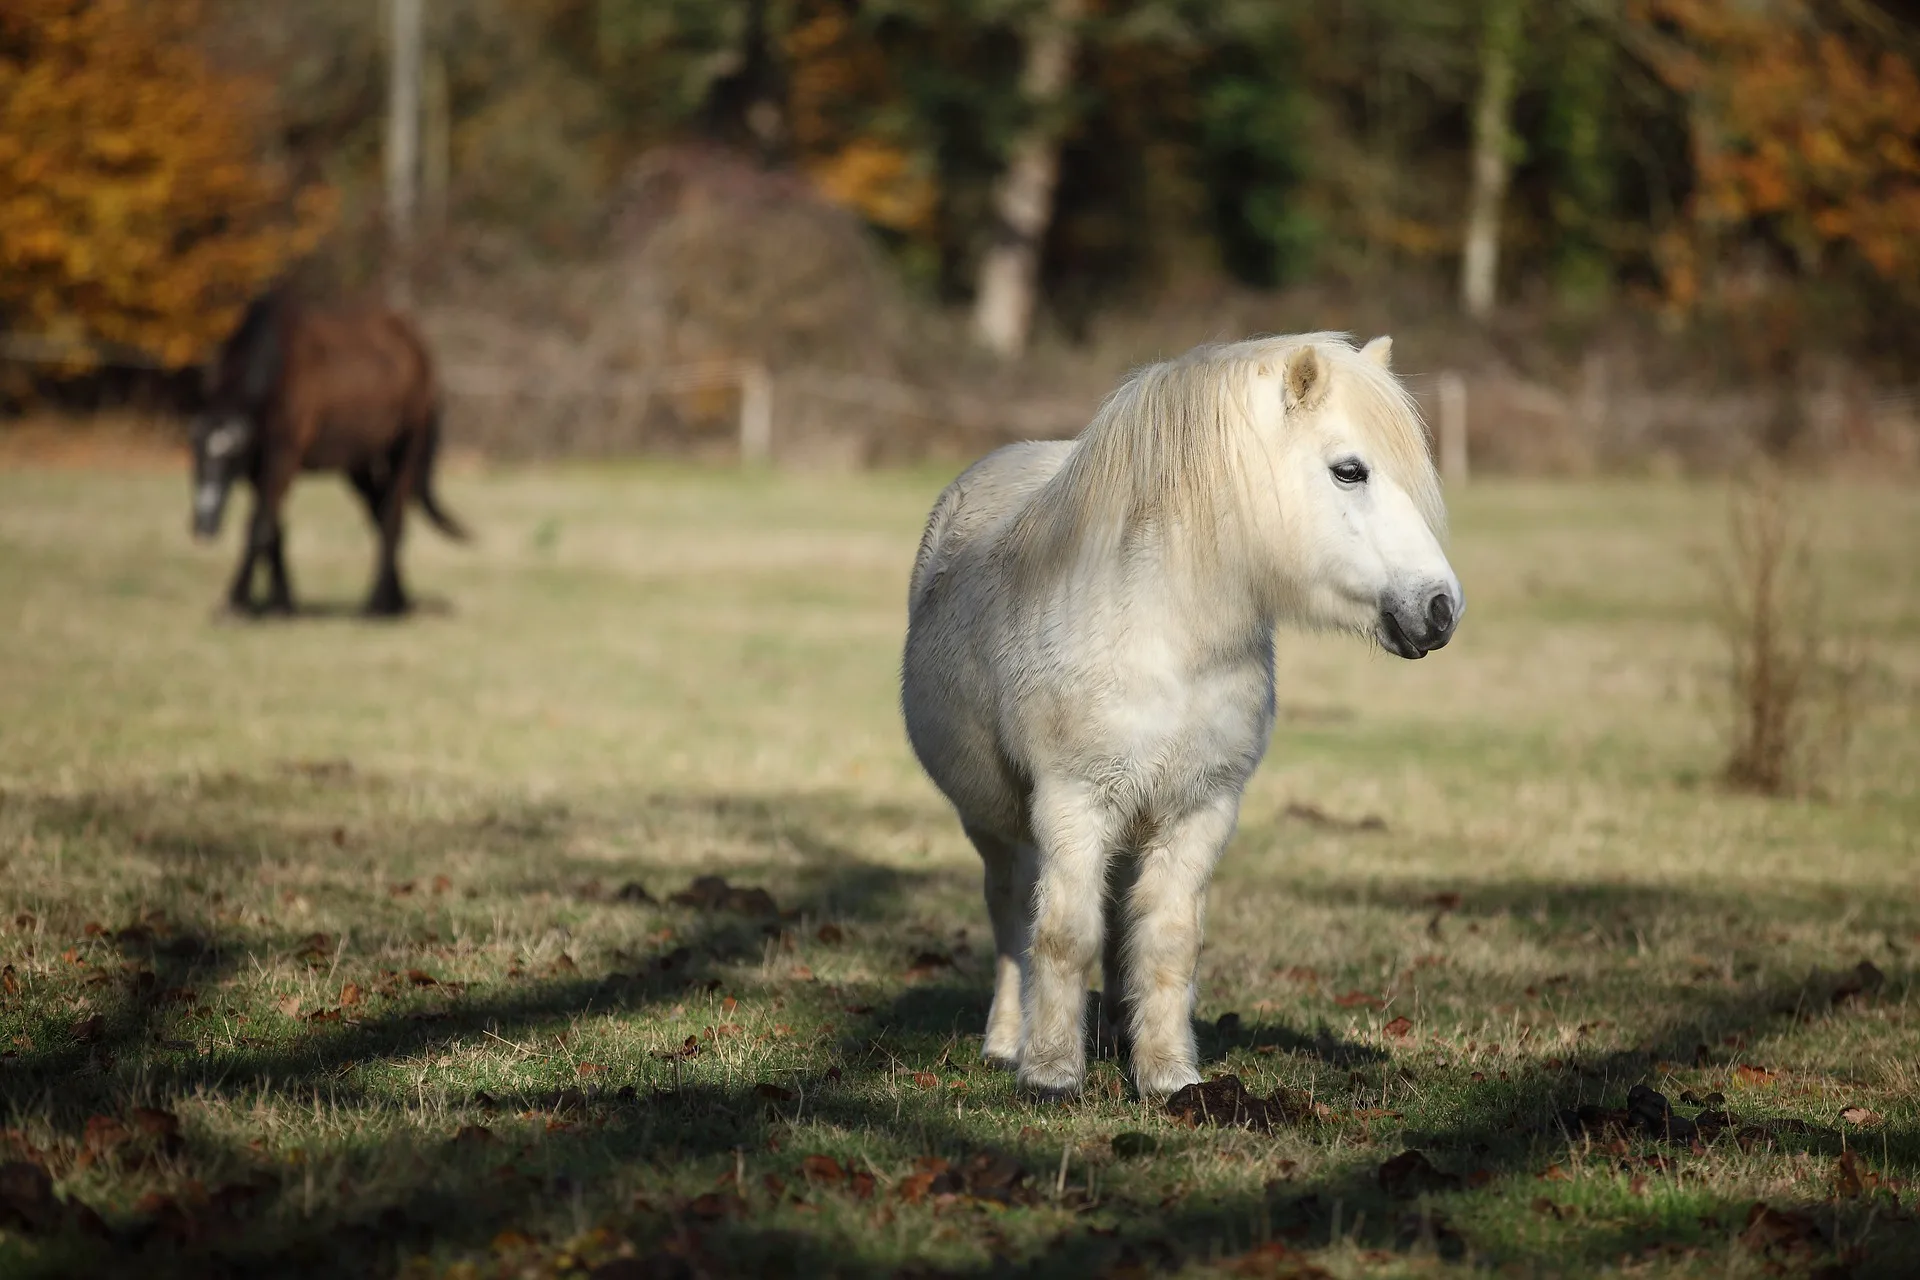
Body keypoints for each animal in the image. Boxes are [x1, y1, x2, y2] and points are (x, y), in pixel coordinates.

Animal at [189, 289, 466, 614]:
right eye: (196, 458)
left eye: (230, 458)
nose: (204, 526)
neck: (279, 367)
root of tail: (421, 352)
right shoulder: (258, 468)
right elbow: (274, 530)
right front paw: (282, 603)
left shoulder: (283, 458)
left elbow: (259, 527)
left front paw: (236, 601)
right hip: (358, 465)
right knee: (380, 514)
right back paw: (396, 601)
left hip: (406, 450)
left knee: (392, 518)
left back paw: (377, 605)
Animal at [898, 333, 1451, 1105]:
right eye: (1350, 470)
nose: (1440, 609)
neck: (1164, 637)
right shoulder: (1074, 804)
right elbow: (1063, 935)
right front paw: (1052, 1073)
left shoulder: (1198, 811)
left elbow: (1167, 942)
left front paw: (1166, 1074)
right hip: (999, 827)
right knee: (1013, 921)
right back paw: (1009, 1042)